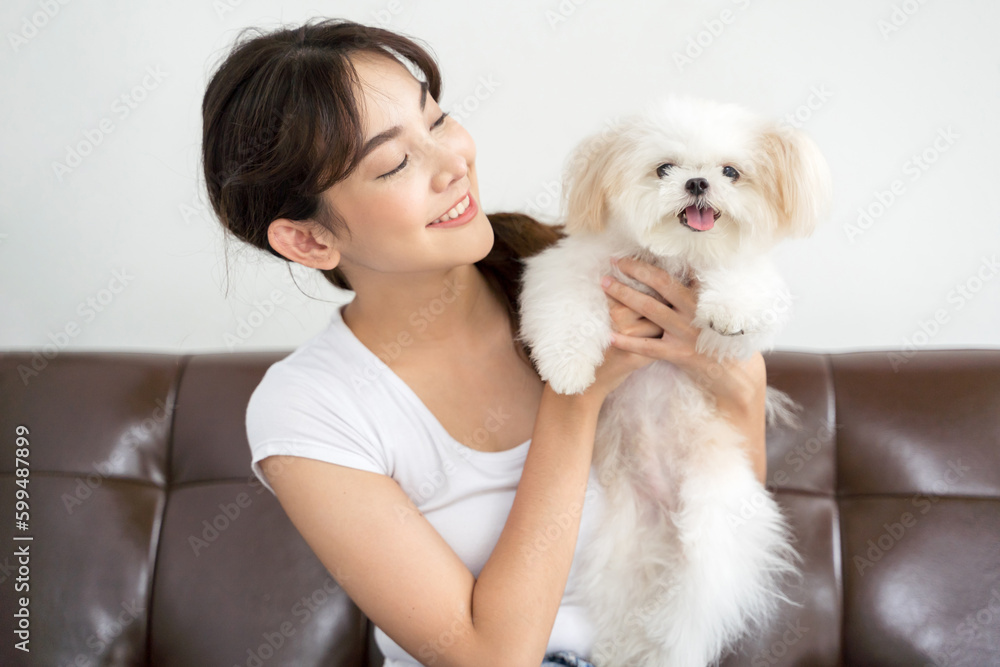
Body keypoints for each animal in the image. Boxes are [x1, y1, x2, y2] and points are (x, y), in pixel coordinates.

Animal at [520, 95, 832, 667]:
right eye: (665, 168)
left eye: (730, 172)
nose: (697, 182)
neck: (678, 256)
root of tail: (665, 518)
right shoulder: (575, 268)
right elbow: (568, 306)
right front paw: (569, 369)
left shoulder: (750, 286)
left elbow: (742, 283)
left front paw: (728, 311)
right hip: (620, 546)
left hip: (713, 522)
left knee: (692, 608)